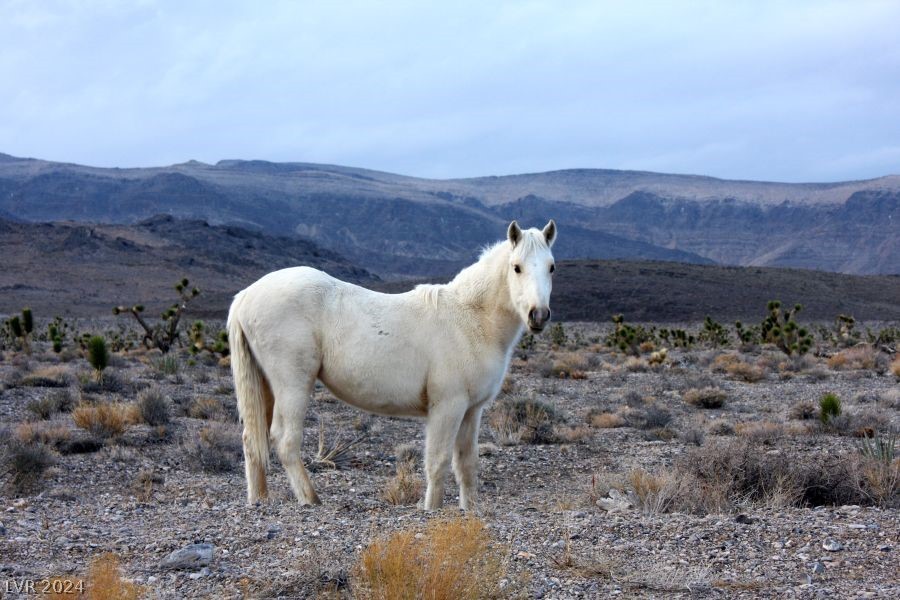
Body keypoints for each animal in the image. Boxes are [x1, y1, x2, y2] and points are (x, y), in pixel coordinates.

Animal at [227, 218, 556, 508]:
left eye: (551, 267)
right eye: (516, 267)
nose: (538, 315)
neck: (470, 318)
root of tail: (246, 295)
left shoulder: (471, 411)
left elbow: (466, 466)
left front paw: (469, 510)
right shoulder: (447, 406)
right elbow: (437, 463)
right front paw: (431, 510)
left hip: (266, 385)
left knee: (252, 440)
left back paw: (259, 500)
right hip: (293, 385)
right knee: (285, 441)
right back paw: (310, 499)